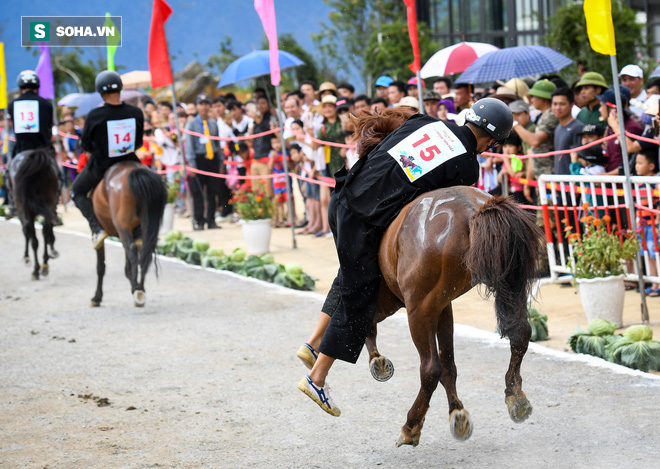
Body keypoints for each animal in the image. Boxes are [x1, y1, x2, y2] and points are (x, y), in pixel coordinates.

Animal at [7, 148, 60, 278]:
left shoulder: (22, 213)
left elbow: (27, 234)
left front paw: (26, 257)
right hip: (49, 203)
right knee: (45, 230)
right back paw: (44, 265)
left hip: (25, 209)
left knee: (33, 237)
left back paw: (37, 269)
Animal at [89, 161, 168, 308]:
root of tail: (135, 169)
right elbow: (128, 267)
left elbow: (101, 267)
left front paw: (97, 297)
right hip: (146, 224)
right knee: (145, 253)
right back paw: (140, 289)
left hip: (122, 225)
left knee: (132, 249)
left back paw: (137, 290)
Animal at [350, 109, 540, 446]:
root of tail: (474, 210)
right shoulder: (441, 305)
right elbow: (451, 362)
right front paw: (457, 412)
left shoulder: (404, 301)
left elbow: (370, 322)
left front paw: (377, 361)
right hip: (507, 282)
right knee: (520, 334)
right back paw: (515, 397)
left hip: (416, 309)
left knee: (430, 368)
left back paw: (411, 426)